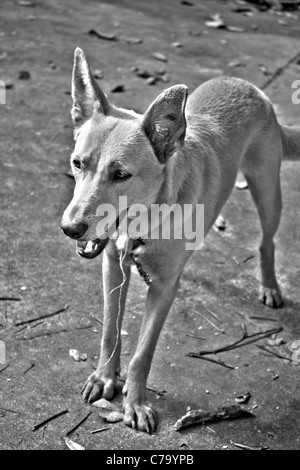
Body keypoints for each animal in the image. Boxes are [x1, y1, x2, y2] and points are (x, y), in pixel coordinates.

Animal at [61, 47, 300, 434]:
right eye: (77, 164)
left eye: (120, 174)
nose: (70, 228)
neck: (147, 218)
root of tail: (250, 87)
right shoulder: (114, 268)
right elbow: (110, 330)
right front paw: (104, 377)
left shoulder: (163, 289)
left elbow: (143, 353)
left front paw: (135, 403)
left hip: (268, 192)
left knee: (268, 241)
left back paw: (270, 285)